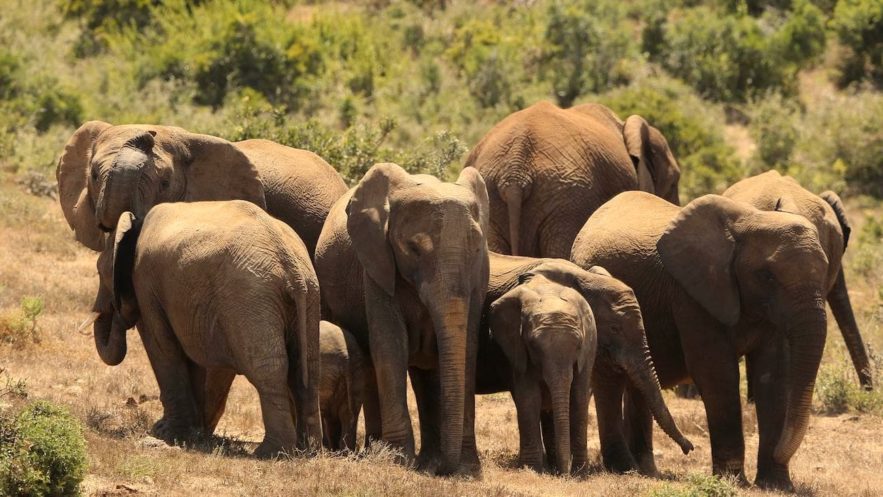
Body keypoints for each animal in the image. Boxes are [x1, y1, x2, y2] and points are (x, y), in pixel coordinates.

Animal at [91, 200, 322, 457]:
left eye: (100, 271)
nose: (117, 313)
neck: (134, 225)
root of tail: (291, 266)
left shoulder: (145, 284)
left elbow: (162, 348)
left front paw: (164, 432)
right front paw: (193, 434)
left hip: (250, 298)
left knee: (269, 370)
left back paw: (270, 453)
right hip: (308, 296)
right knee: (308, 368)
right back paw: (308, 450)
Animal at [571, 191, 831, 490]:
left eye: (827, 271)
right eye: (767, 276)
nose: (690, 449)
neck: (748, 222)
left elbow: (772, 374)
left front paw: (775, 485)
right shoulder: (691, 294)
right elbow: (717, 373)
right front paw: (733, 480)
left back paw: (647, 470)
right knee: (610, 379)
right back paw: (624, 469)